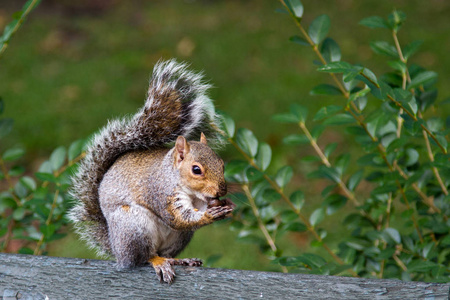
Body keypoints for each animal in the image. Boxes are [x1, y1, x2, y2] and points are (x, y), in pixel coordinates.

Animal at [69, 60, 236, 284]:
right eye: (196, 170)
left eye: (222, 164)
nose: (221, 191)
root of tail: (116, 248)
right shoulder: (160, 192)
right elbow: (177, 218)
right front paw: (209, 214)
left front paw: (226, 205)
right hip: (133, 226)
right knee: (143, 257)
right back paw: (157, 262)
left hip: (179, 237)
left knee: (165, 252)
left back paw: (179, 260)